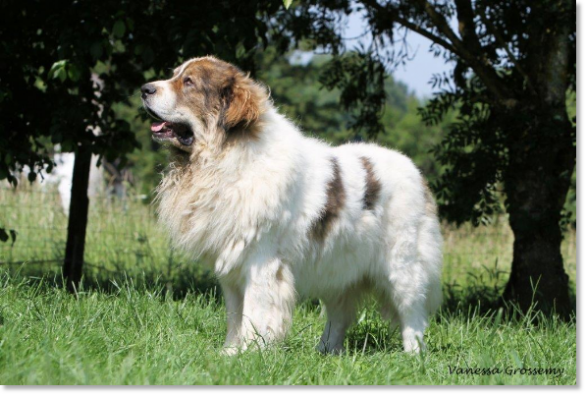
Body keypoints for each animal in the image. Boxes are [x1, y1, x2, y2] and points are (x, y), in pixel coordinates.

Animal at [142, 55, 444, 352]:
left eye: (189, 82)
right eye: (174, 75)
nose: (145, 89)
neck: (225, 156)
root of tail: (415, 171)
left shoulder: (261, 261)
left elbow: (254, 312)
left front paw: (250, 352)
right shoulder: (231, 265)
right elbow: (235, 315)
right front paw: (229, 352)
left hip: (402, 264)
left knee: (412, 311)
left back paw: (413, 353)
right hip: (340, 265)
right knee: (339, 313)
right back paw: (325, 351)